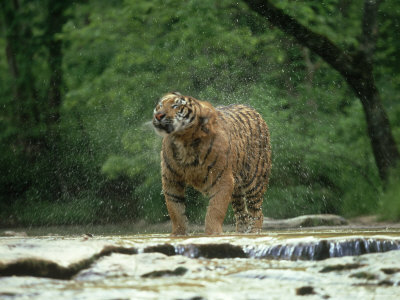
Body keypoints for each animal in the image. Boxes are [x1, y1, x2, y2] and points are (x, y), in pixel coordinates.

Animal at [153, 91, 272, 234]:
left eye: (176, 106)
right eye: (159, 106)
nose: (158, 115)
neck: (184, 141)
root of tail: (253, 110)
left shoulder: (222, 180)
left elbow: (215, 210)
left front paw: (212, 234)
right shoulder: (171, 181)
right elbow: (176, 211)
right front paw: (178, 234)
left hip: (254, 180)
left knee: (257, 211)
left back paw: (254, 233)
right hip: (237, 190)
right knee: (241, 214)